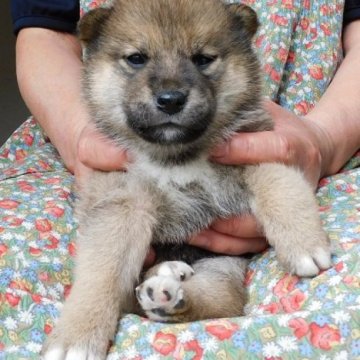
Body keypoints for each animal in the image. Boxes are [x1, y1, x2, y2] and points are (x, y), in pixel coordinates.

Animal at [41, 1, 330, 358]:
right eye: (137, 58)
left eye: (202, 59)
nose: (171, 100)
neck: (176, 156)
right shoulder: (122, 203)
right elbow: (102, 272)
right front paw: (77, 334)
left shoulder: (257, 149)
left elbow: (282, 187)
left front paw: (305, 243)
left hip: (222, 266)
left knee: (219, 299)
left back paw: (170, 291)